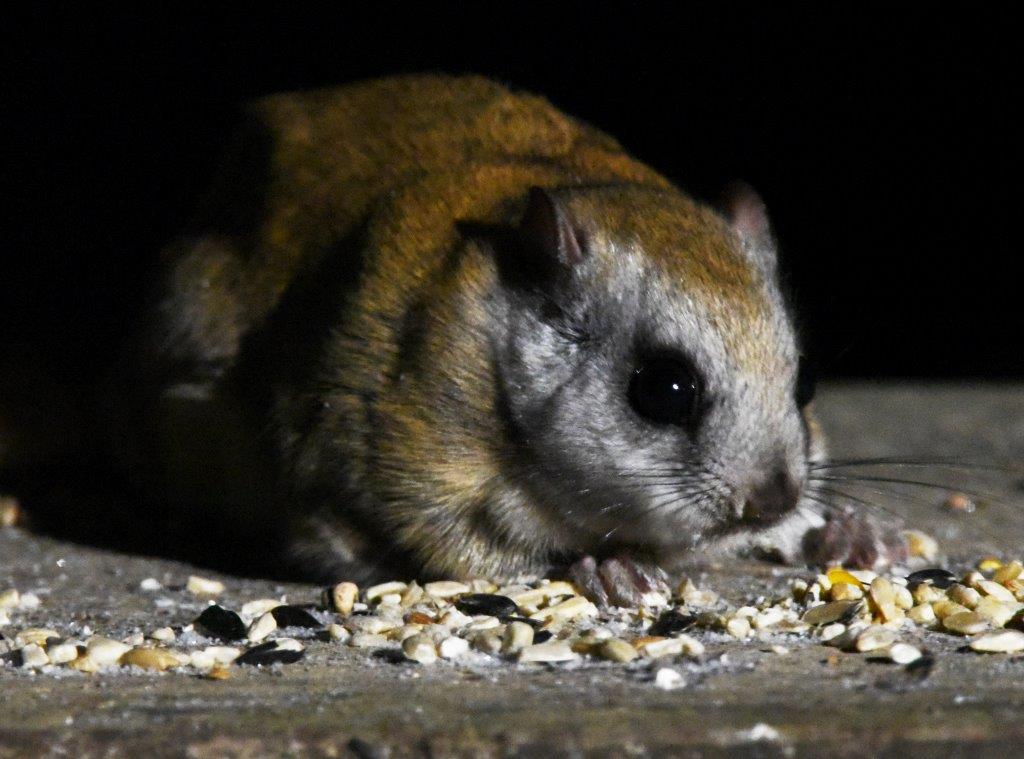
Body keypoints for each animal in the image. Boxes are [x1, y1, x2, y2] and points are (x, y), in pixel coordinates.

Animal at [30, 74, 905, 605]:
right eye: (665, 389)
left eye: (804, 382)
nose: (774, 496)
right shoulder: (410, 462)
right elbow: (469, 547)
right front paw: (601, 563)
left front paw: (845, 530)